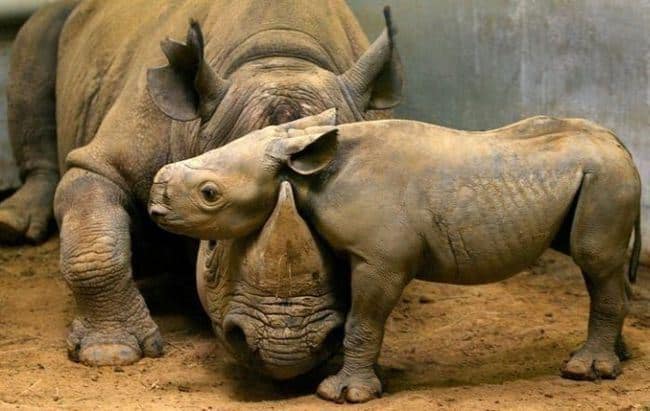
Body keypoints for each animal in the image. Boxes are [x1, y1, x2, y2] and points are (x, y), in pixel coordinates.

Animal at [0, 0, 403, 370]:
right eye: (209, 244)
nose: (287, 352)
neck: (280, 56)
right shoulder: (108, 161)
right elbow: (95, 238)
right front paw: (110, 353)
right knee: (34, 41)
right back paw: (12, 224)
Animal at [150, 110, 642, 403]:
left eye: (209, 194)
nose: (154, 204)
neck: (308, 172)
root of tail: (622, 146)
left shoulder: (380, 258)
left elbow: (362, 320)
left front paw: (343, 394)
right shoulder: (355, 251)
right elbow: (352, 317)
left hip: (607, 178)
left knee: (594, 259)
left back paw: (585, 371)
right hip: (596, 175)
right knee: (601, 265)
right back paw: (616, 357)